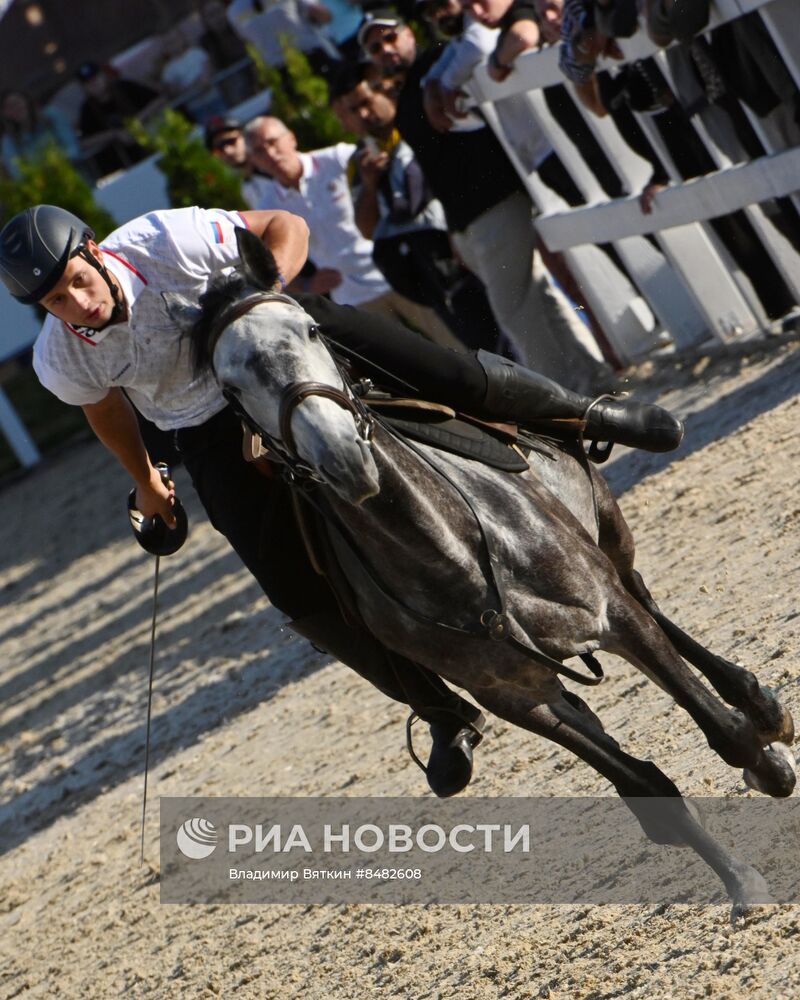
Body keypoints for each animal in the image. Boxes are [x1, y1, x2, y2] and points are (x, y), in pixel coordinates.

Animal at [169, 232, 792, 920]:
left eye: (309, 328)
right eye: (229, 387)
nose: (340, 456)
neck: (455, 556)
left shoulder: (611, 613)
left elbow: (721, 728)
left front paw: (767, 764)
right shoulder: (514, 694)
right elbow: (646, 787)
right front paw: (738, 880)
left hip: (609, 533)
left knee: (653, 606)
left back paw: (759, 704)